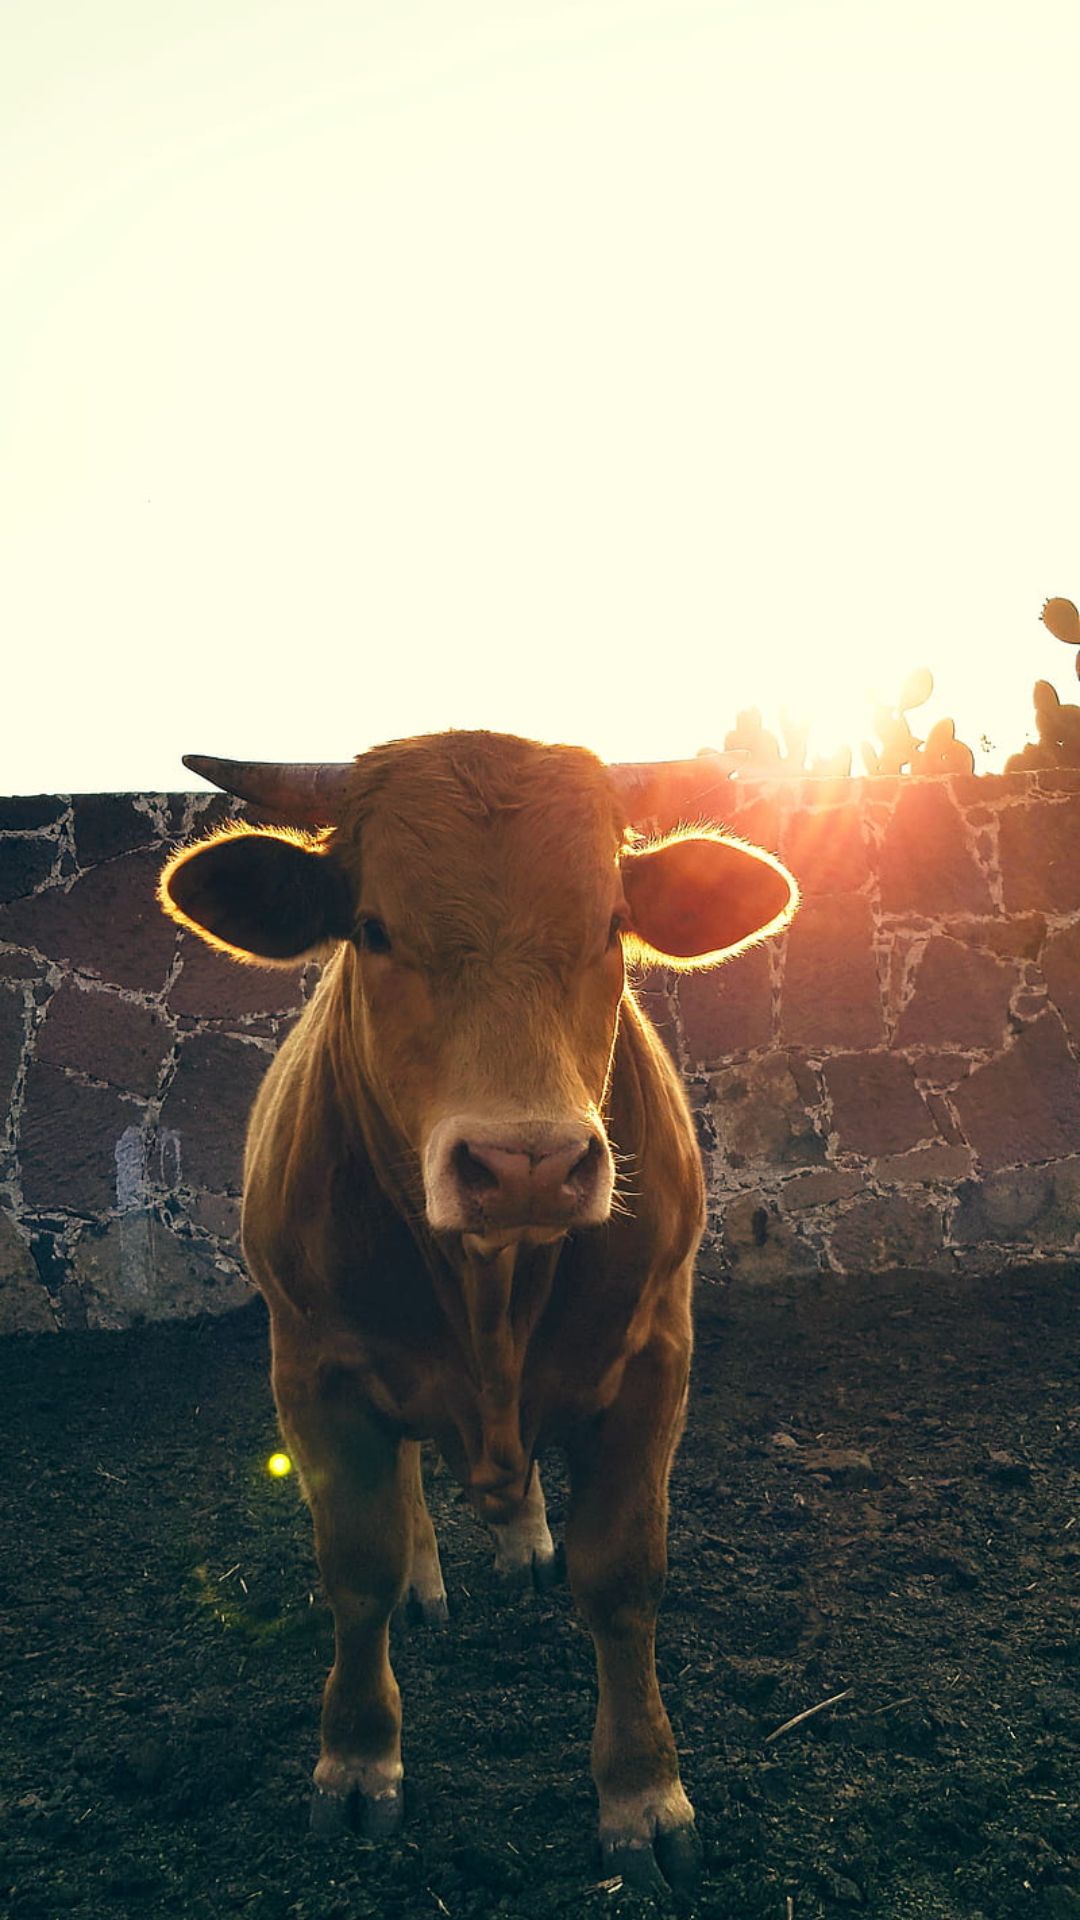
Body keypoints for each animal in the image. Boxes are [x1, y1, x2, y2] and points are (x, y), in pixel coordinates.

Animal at [159, 731, 797, 1893]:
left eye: (610, 923)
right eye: (372, 929)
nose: (525, 1163)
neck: (491, 1287)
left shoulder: (655, 1358)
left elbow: (622, 1574)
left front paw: (643, 1792)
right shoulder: (312, 1369)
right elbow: (356, 1567)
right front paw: (357, 1762)